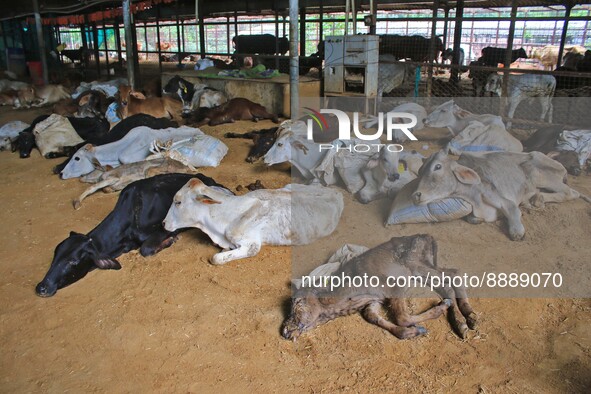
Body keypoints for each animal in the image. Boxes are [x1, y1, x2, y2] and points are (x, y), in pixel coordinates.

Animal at [35, 174, 229, 298]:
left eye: (73, 262)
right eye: (55, 256)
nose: (41, 287)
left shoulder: (165, 227)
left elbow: (146, 248)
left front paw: (170, 241)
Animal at [284, 235, 480, 340]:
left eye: (298, 302)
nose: (285, 330)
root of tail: (427, 236)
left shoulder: (393, 285)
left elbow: (402, 317)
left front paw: (437, 312)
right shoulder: (372, 302)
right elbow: (373, 317)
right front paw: (414, 331)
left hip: (416, 264)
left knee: (454, 275)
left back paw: (466, 318)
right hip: (422, 269)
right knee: (448, 281)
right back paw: (465, 321)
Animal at [412, 149, 591, 239]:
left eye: (437, 167)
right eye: (420, 171)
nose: (416, 195)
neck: (473, 197)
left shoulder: (504, 200)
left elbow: (514, 217)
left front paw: (516, 230)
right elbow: (473, 219)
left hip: (538, 175)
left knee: (571, 192)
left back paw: (537, 200)